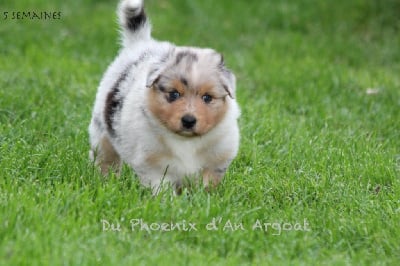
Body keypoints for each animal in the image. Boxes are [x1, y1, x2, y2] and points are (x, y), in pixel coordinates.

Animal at [90, 0, 241, 195]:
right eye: (174, 94)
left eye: (207, 98)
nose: (188, 121)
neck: (185, 141)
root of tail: (141, 43)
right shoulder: (152, 164)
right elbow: (162, 187)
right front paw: (168, 202)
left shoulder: (217, 159)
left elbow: (207, 184)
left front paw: (204, 198)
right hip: (101, 133)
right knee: (105, 159)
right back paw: (105, 182)